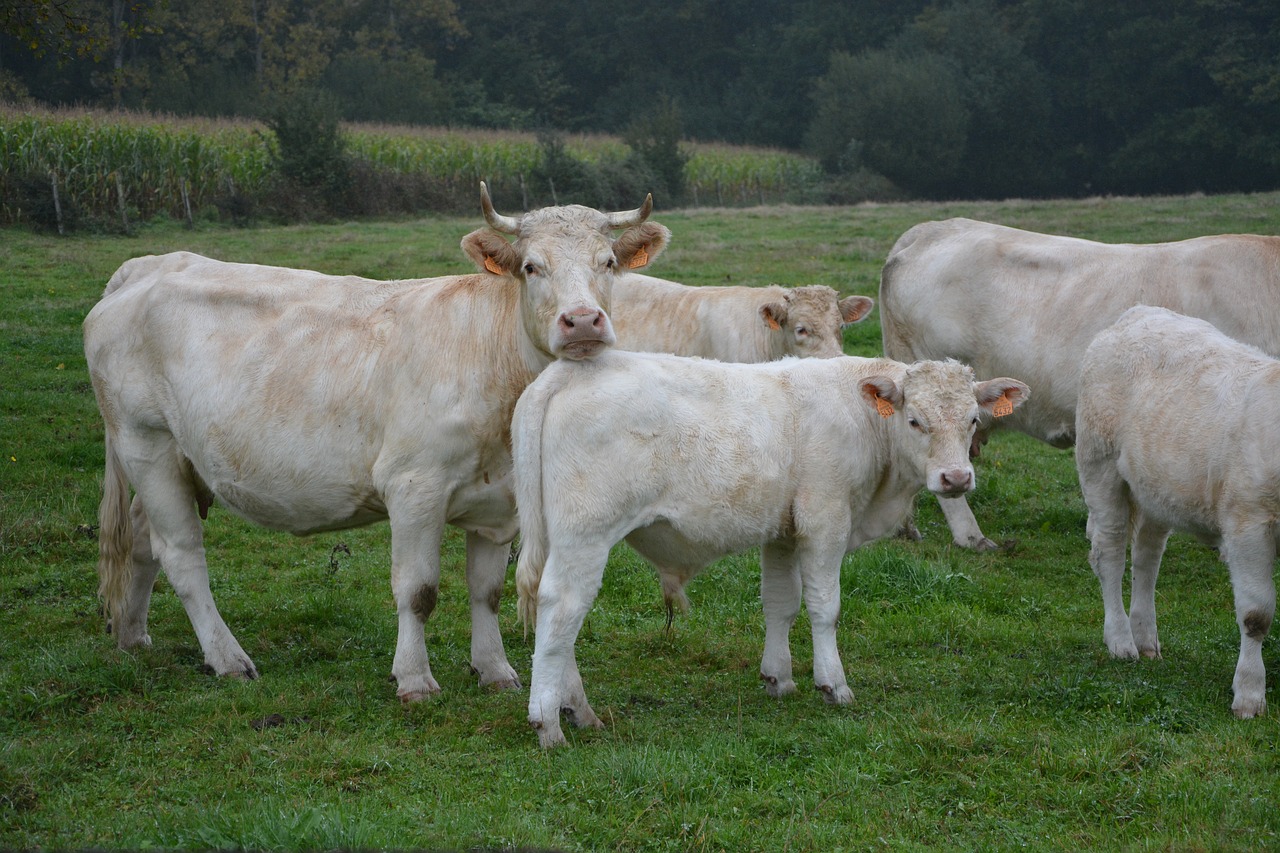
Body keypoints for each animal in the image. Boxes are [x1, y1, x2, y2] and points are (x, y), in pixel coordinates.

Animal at [82, 180, 670, 696]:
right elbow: (417, 591)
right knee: (181, 553)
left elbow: (487, 592)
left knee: (142, 540)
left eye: (608, 263)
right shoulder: (413, 486)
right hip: (145, 441)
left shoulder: (499, 501)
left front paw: (495, 671)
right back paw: (228, 659)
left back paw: (133, 636)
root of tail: (148, 265)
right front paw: (414, 679)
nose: (583, 321)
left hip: (177, 459)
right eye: (531, 267)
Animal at [514, 348, 1024, 742]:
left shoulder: (783, 533)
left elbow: (781, 602)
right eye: (916, 421)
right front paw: (833, 685)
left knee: (554, 611)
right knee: (562, 608)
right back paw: (548, 722)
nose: (956, 478)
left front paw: (779, 677)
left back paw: (578, 711)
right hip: (586, 534)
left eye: (973, 420)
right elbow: (824, 606)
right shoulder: (826, 520)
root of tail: (573, 369)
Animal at [1080, 306, 1280, 717]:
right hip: (1100, 466)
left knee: (1146, 560)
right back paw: (1121, 640)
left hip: (1157, 489)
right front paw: (1249, 694)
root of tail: (1138, 312)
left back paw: (1145, 638)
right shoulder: (1249, 523)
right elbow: (1256, 614)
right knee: (1109, 553)